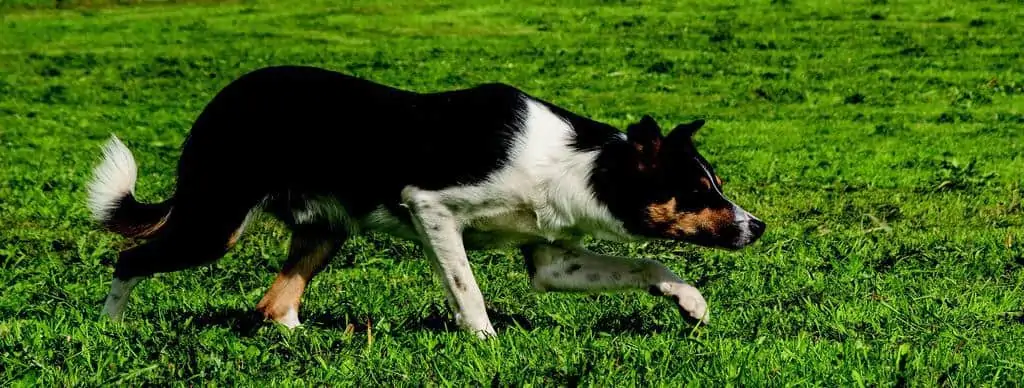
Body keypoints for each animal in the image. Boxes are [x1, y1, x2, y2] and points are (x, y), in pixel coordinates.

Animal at [88, 65, 765, 339]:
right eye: (698, 192)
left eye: (715, 186)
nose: (755, 227)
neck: (580, 162)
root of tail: (220, 103)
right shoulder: (431, 210)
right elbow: (469, 290)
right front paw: (486, 343)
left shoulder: (553, 263)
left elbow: (648, 263)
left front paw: (691, 302)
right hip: (214, 223)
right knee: (128, 258)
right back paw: (111, 326)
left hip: (324, 230)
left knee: (274, 304)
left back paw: (307, 340)